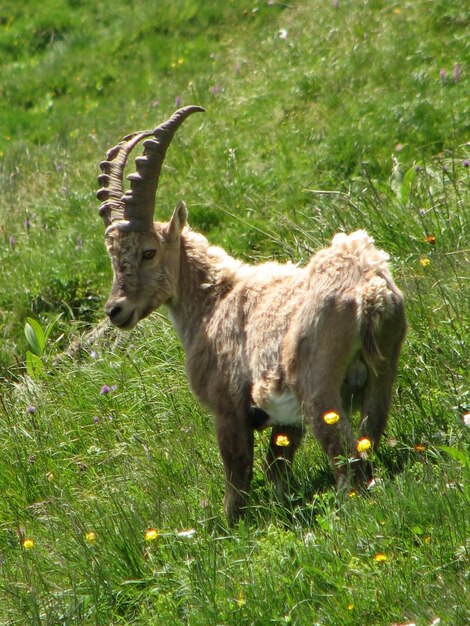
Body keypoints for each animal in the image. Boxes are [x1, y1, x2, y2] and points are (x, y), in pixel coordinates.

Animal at [97, 106, 406, 520]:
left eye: (149, 252)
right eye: (113, 257)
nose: (116, 310)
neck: (213, 302)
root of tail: (368, 290)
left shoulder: (228, 408)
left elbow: (237, 477)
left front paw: (232, 526)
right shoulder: (283, 419)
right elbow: (276, 468)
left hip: (318, 388)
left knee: (345, 461)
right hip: (383, 374)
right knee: (367, 440)